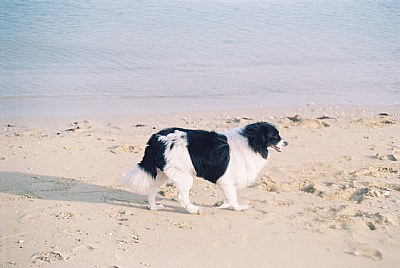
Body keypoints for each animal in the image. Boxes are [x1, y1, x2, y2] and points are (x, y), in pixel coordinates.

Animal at [122, 123, 288, 214]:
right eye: (275, 136)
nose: (287, 143)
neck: (250, 141)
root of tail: (156, 138)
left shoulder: (226, 181)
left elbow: (228, 196)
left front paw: (224, 205)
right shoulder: (227, 180)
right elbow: (232, 197)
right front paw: (237, 207)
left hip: (163, 174)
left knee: (151, 191)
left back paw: (154, 207)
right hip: (184, 175)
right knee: (182, 197)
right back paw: (194, 210)